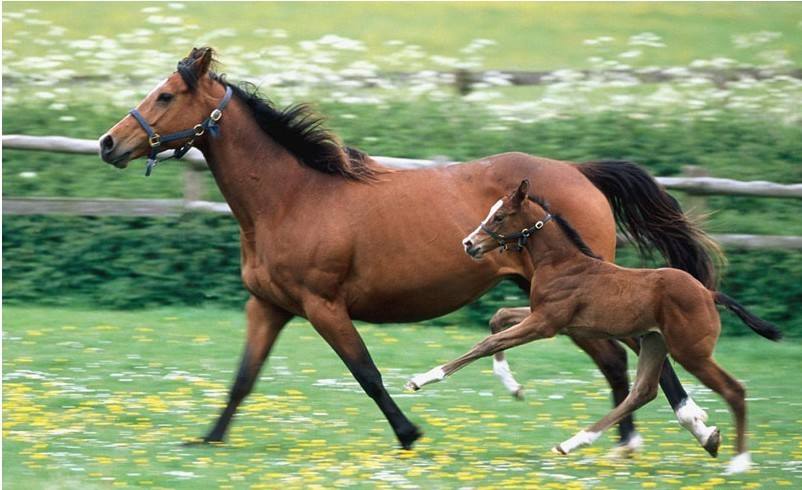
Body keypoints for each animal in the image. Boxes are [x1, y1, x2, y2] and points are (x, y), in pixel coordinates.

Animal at [404, 181, 780, 474]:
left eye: (499, 216)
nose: (469, 244)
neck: (562, 262)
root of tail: (707, 292)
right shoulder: (546, 317)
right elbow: (498, 319)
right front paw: (512, 384)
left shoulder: (545, 323)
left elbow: (487, 343)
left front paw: (421, 379)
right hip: (654, 343)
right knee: (643, 392)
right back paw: (574, 443)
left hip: (691, 352)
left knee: (734, 390)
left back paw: (739, 462)